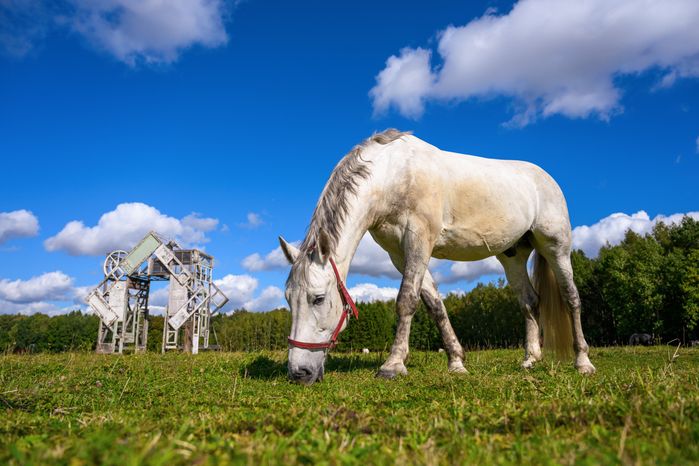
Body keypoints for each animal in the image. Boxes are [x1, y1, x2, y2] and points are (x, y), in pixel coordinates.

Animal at [279, 129, 595, 384]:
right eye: (288, 299)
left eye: (318, 299)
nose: (298, 373)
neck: (393, 175)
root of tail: (546, 179)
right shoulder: (400, 254)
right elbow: (434, 305)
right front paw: (456, 361)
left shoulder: (419, 241)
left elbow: (407, 300)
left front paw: (393, 365)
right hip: (513, 256)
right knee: (529, 302)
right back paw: (530, 359)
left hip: (556, 248)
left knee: (571, 297)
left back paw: (583, 362)